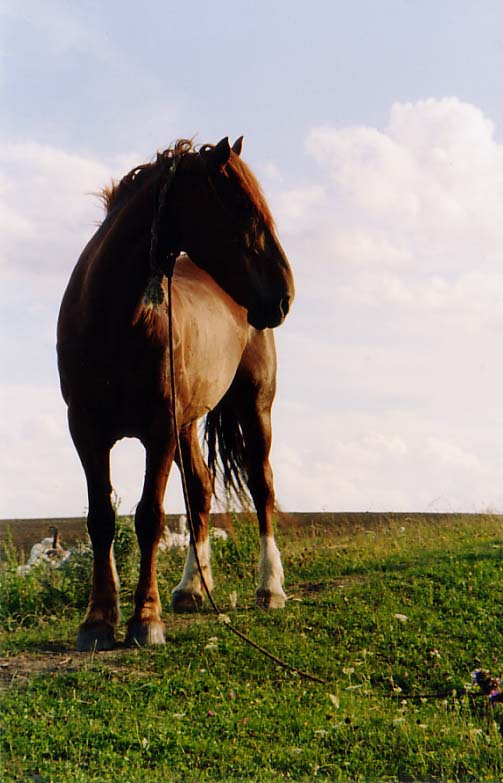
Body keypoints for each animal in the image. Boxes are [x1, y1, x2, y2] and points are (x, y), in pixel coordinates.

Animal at [57, 136, 295, 651]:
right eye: (242, 209)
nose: (285, 296)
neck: (114, 319)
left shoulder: (158, 430)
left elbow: (148, 516)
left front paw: (145, 619)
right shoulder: (86, 430)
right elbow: (101, 518)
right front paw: (98, 620)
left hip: (255, 408)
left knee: (262, 486)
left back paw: (270, 587)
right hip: (188, 424)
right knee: (201, 491)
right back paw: (191, 587)